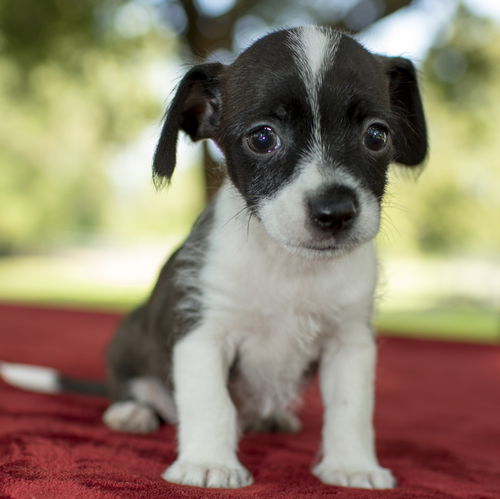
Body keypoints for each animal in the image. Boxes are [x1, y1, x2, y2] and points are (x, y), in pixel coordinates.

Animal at [1, 25, 428, 490]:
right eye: (263, 138)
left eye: (377, 135)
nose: (335, 211)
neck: (289, 268)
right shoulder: (203, 335)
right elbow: (212, 404)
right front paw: (210, 462)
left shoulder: (349, 344)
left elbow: (351, 410)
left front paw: (352, 465)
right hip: (128, 341)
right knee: (133, 390)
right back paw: (130, 411)